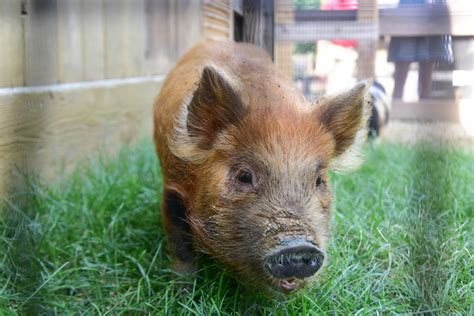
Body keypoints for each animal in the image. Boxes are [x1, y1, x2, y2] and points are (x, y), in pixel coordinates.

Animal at [154, 40, 372, 292]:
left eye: (319, 181)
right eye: (244, 175)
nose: (299, 246)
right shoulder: (173, 188)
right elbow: (181, 248)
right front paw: (181, 290)